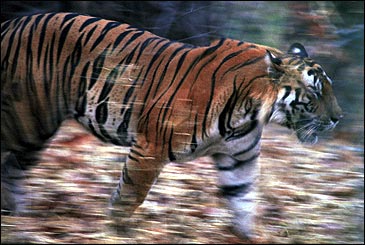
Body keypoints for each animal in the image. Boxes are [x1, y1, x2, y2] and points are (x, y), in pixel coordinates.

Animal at [1, 12, 342, 238]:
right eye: (314, 92)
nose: (338, 118)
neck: (250, 114)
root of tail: (13, 23)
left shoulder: (239, 159)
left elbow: (243, 201)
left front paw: (248, 237)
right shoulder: (150, 148)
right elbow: (130, 195)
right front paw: (115, 230)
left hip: (33, 132)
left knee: (12, 169)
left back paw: (17, 216)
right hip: (25, 121)